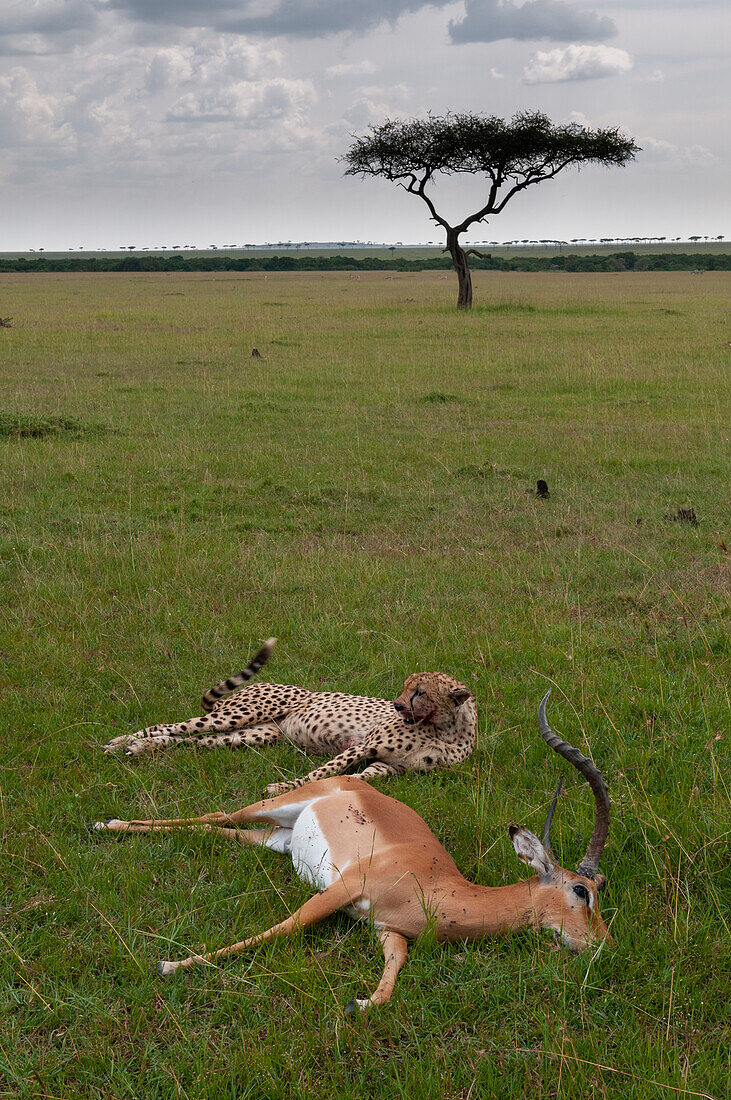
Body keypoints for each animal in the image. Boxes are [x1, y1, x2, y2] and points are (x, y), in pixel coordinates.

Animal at [103, 638, 479, 800]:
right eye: (405, 688)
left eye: (420, 692)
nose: (397, 706)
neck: (444, 731)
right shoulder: (361, 746)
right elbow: (319, 773)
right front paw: (282, 789)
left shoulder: (388, 766)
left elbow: (357, 778)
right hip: (240, 714)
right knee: (170, 726)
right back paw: (123, 743)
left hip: (253, 734)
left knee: (191, 741)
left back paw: (142, 748)